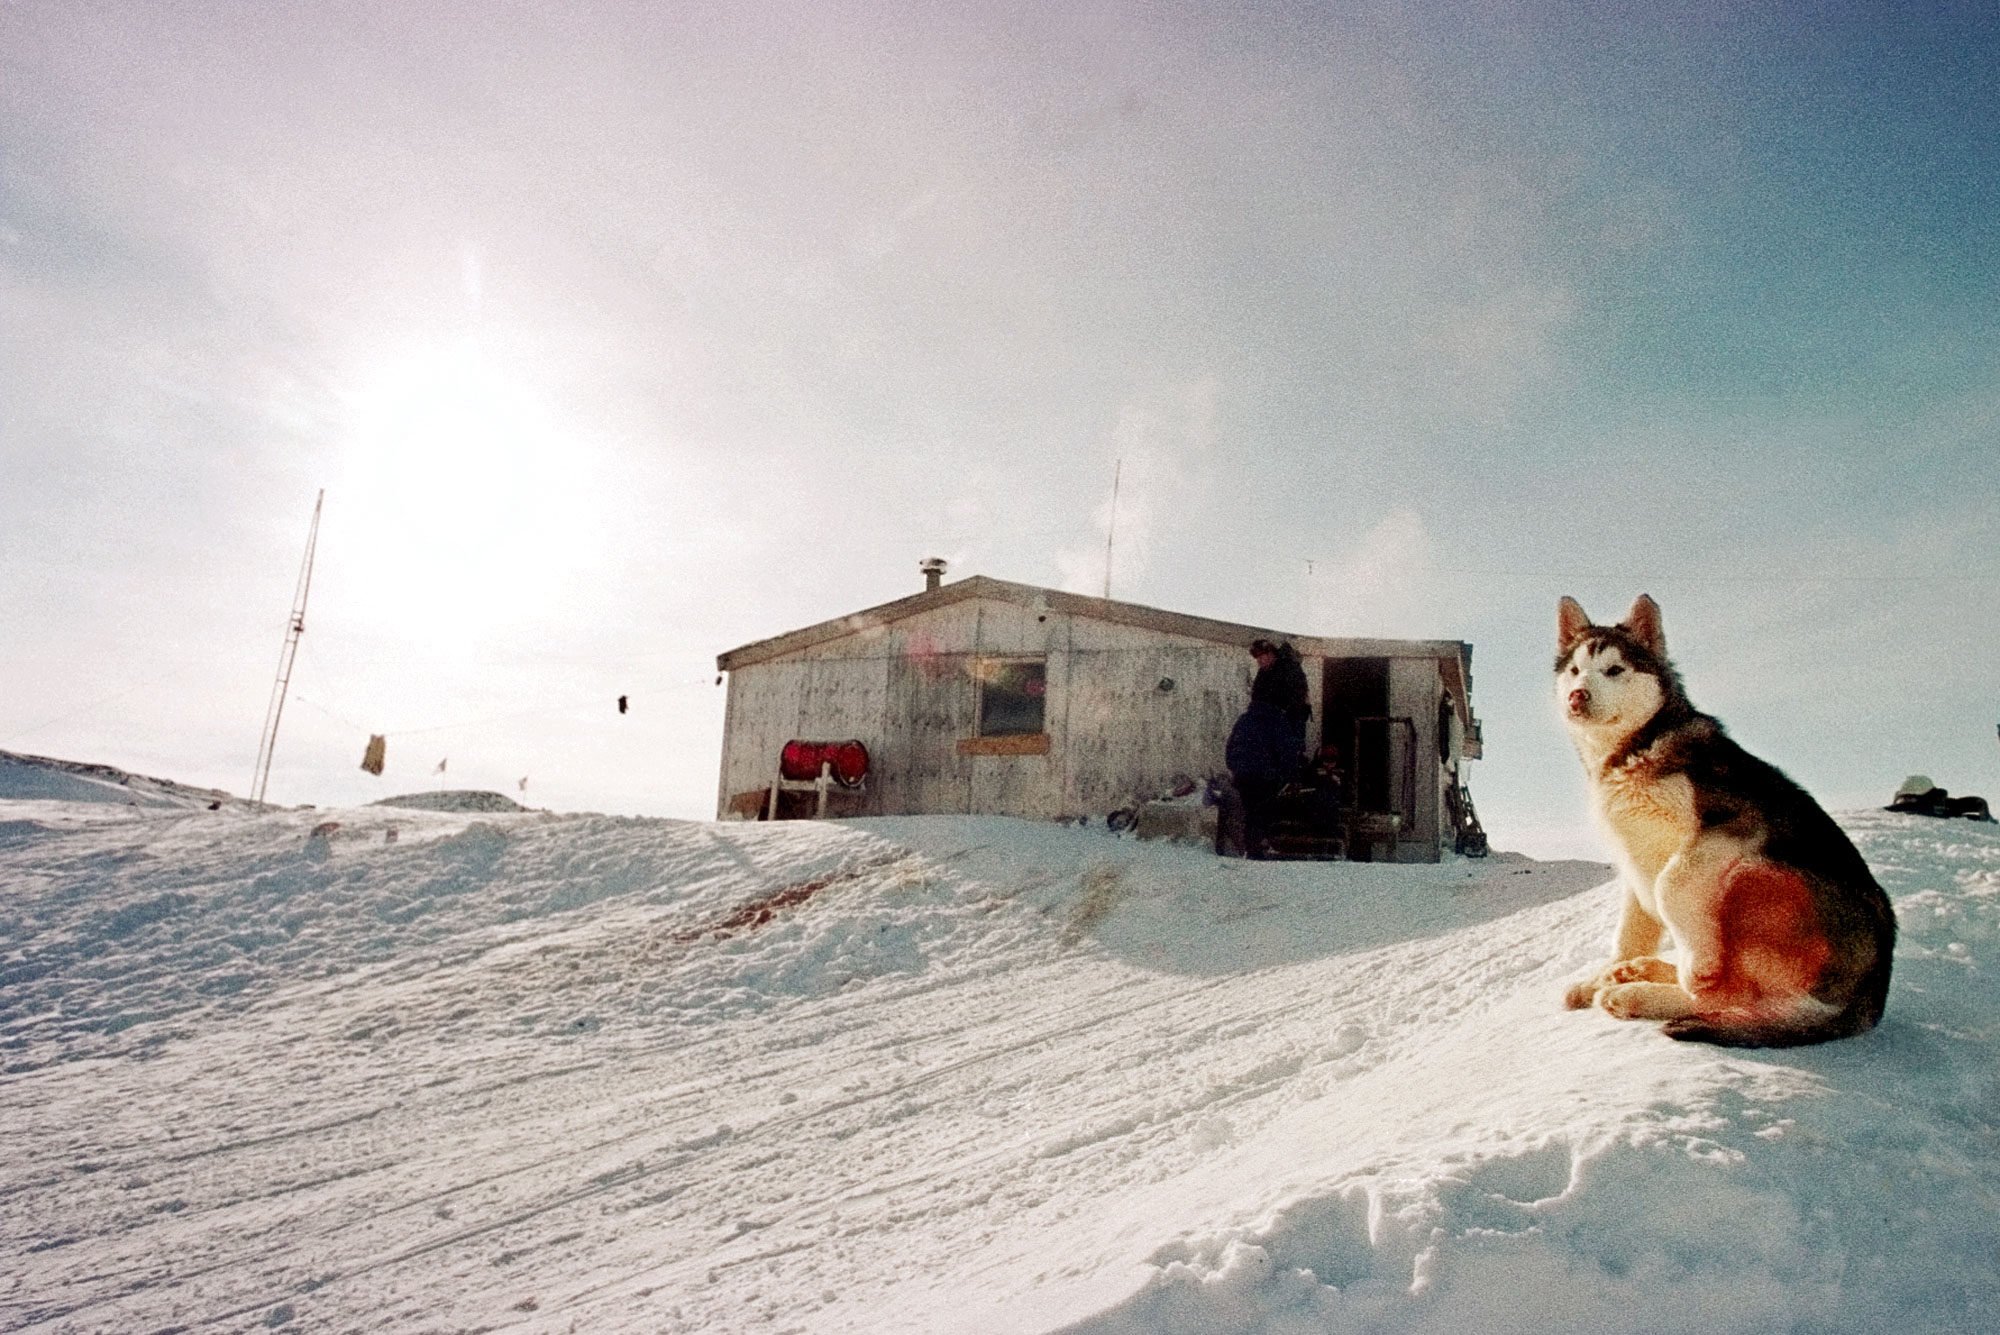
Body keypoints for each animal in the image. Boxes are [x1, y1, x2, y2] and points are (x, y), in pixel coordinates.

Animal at [1552, 595, 1896, 1039]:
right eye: (1575, 671)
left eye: (1614, 670)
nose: (1577, 696)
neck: (1635, 749)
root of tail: (1871, 1000)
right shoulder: (1633, 861)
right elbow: (1628, 934)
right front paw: (1601, 976)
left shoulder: (1737, 823)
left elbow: (1670, 885)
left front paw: (1696, 966)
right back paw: (1636, 974)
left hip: (1753, 877)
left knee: (1731, 996)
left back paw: (1639, 994)